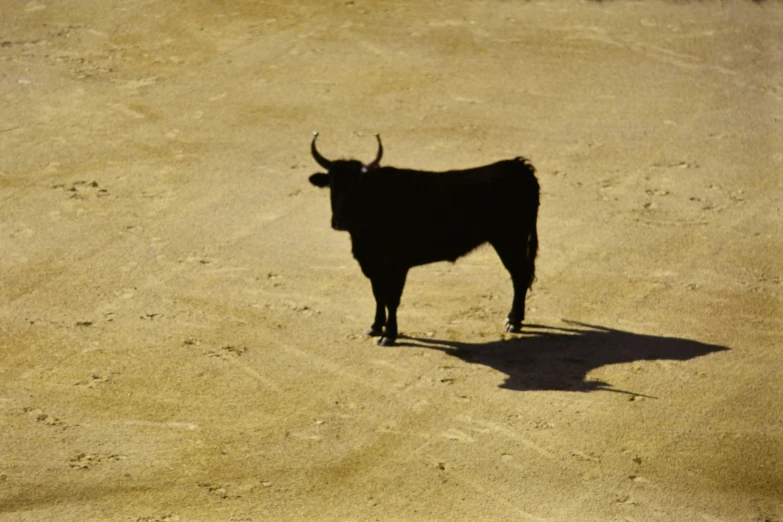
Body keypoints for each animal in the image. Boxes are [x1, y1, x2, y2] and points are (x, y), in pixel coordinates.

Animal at [308, 131, 540, 346]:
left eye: (357, 187)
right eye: (332, 186)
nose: (339, 221)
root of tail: (518, 166)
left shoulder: (396, 266)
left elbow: (391, 299)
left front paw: (389, 335)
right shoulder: (372, 264)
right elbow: (378, 295)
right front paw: (375, 327)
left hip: (510, 241)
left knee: (519, 275)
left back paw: (513, 321)